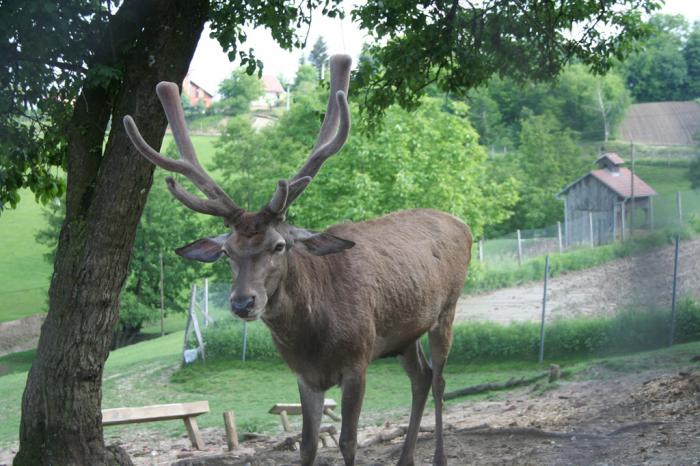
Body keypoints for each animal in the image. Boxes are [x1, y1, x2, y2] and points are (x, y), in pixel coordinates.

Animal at [123, 54, 472, 466]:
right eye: (227, 252)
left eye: (279, 246)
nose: (243, 302)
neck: (314, 339)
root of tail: (462, 223)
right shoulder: (305, 377)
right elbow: (307, 443)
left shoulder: (358, 361)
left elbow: (348, 440)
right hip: (404, 334)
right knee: (420, 378)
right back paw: (405, 458)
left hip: (447, 308)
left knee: (440, 379)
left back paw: (439, 456)